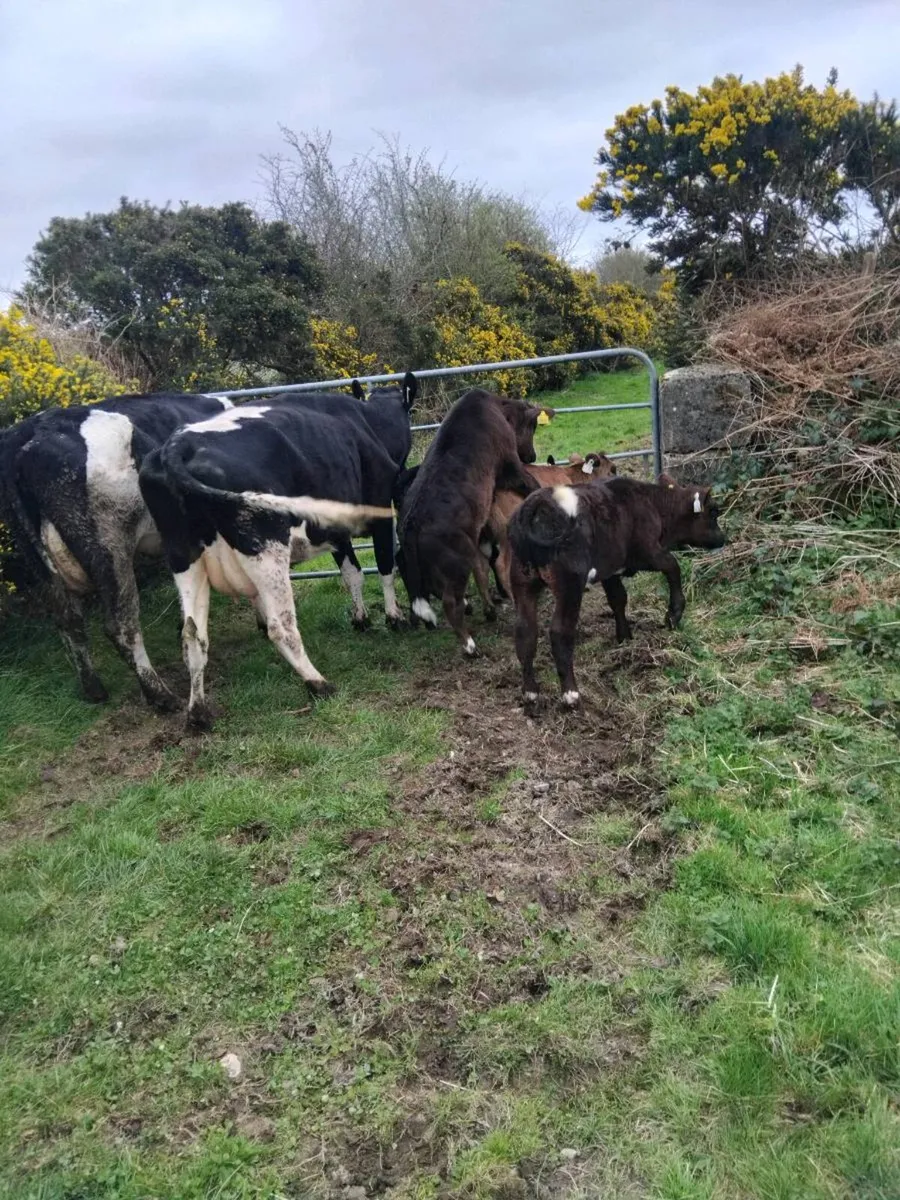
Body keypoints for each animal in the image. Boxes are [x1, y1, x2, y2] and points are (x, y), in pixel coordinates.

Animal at [0, 391, 234, 709]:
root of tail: (30, 435)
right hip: (109, 546)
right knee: (121, 625)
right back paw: (160, 695)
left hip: (37, 558)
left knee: (68, 620)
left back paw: (94, 690)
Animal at [138, 391, 411, 732]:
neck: (369, 422)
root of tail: (177, 446)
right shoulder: (380, 510)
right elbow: (385, 567)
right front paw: (394, 618)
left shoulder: (336, 529)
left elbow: (352, 573)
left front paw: (360, 619)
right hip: (266, 546)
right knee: (281, 627)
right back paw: (319, 683)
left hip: (183, 557)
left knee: (192, 635)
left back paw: (198, 712)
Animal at [396, 388, 553, 656]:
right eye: (531, 426)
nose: (531, 455)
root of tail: (411, 523)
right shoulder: (511, 464)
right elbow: (531, 484)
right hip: (458, 561)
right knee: (450, 602)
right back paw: (470, 645)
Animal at [507, 473, 726, 708]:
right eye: (714, 512)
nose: (723, 538)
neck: (652, 503)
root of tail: (533, 506)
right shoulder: (648, 553)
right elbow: (672, 566)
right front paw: (673, 614)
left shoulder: (610, 571)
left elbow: (618, 599)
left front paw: (624, 637)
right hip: (570, 585)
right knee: (559, 632)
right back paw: (571, 693)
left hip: (523, 584)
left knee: (525, 632)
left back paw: (530, 691)